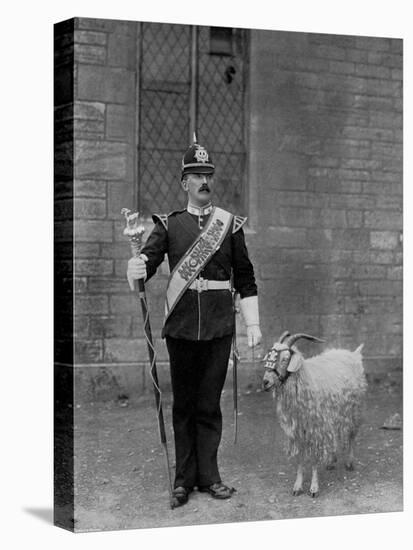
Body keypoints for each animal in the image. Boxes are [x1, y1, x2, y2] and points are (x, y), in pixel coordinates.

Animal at [262, 332, 366, 500]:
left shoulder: (315, 429)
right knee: (335, 434)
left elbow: (314, 459)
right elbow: (300, 459)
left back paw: (350, 463)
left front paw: (314, 488)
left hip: (353, 411)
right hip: (334, 413)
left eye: (285, 358)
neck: (305, 378)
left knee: (351, 436)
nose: (265, 382)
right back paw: (331, 461)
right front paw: (297, 486)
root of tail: (353, 354)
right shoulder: (298, 431)